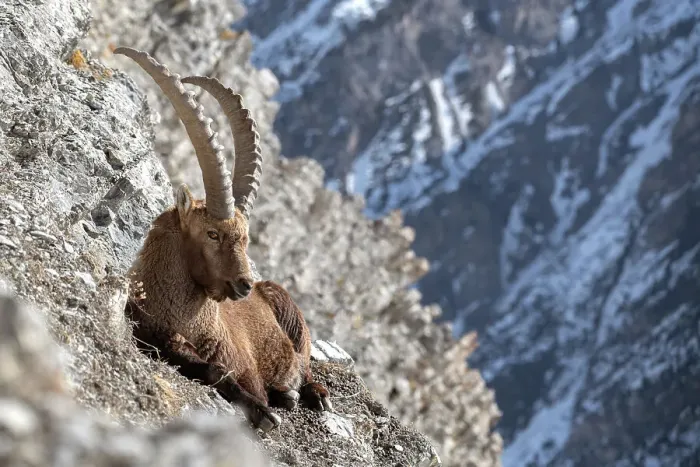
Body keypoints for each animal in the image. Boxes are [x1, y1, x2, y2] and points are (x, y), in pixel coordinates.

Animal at [115, 47, 332, 432]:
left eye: (245, 239)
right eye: (212, 233)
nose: (244, 284)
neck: (189, 320)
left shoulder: (245, 363)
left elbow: (249, 381)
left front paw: (267, 408)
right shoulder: (154, 334)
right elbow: (213, 370)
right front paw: (264, 410)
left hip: (293, 321)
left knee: (305, 365)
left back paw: (314, 394)